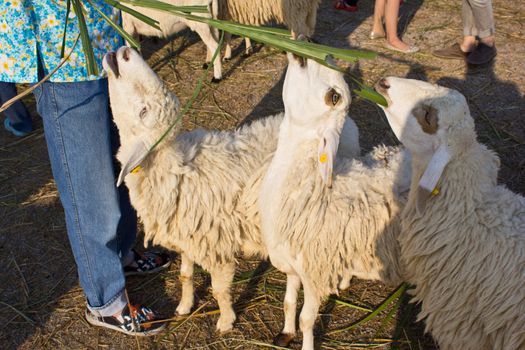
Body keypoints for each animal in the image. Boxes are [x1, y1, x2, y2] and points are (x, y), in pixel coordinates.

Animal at [100, 47, 358, 332]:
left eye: (143, 111)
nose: (124, 51)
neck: (177, 170)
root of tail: (349, 126)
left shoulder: (216, 246)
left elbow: (219, 290)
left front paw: (225, 321)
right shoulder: (188, 240)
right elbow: (185, 275)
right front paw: (184, 306)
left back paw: (344, 281)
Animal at [258, 53, 410, 348]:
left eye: (334, 97)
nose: (304, 50)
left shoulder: (314, 273)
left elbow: (306, 319)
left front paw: (305, 343)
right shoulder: (293, 268)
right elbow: (288, 302)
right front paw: (285, 333)